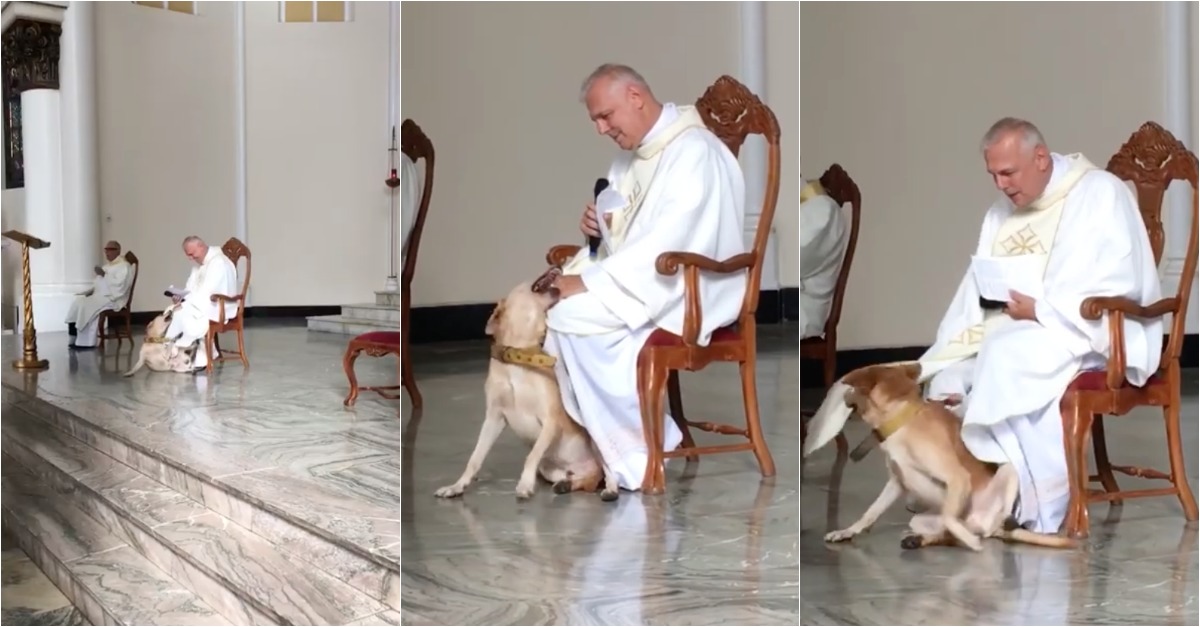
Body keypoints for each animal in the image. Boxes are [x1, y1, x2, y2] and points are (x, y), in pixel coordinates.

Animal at [434, 276, 619, 499]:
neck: (518, 356)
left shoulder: (550, 421)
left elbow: (532, 455)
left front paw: (525, 484)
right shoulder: (494, 418)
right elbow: (475, 458)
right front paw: (457, 486)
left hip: (595, 444)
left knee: (608, 471)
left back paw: (610, 489)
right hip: (550, 469)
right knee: (583, 479)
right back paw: (566, 484)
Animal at [801, 360, 1075, 547]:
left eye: (852, 389)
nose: (843, 394)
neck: (902, 422)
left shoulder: (957, 478)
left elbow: (949, 517)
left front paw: (966, 536)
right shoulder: (897, 482)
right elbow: (870, 513)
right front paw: (847, 531)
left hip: (1008, 474)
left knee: (982, 529)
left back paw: (990, 527)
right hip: (920, 520)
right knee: (947, 535)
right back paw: (920, 540)